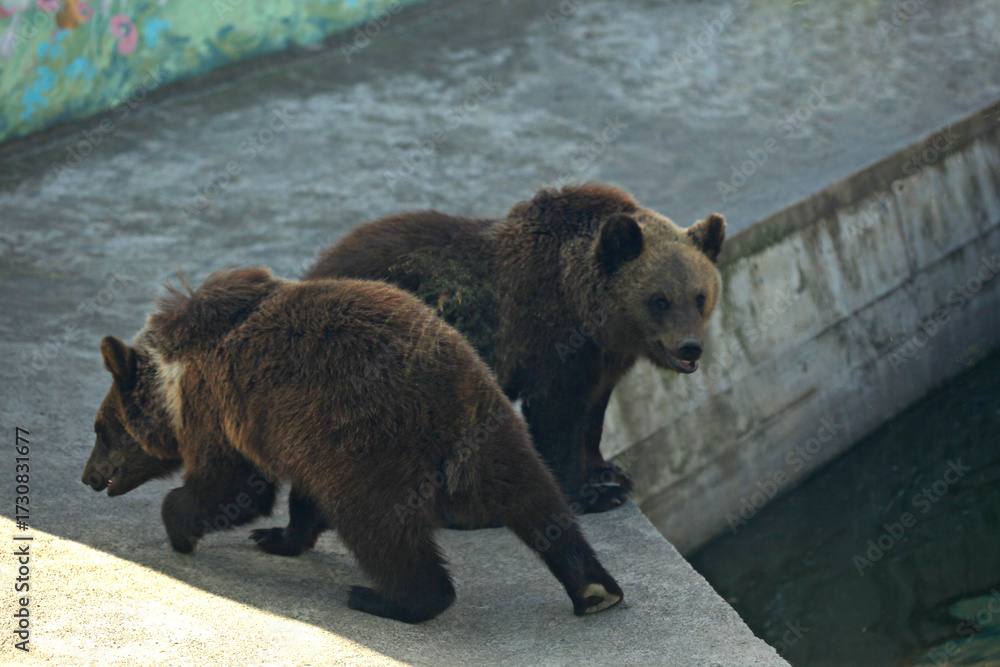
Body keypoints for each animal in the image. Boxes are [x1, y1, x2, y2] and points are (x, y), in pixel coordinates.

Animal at [81, 267, 623, 623]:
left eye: (100, 429)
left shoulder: (222, 408)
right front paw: (276, 536)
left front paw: (181, 527)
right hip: (494, 430)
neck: (173, 383)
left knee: (380, 530)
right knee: (540, 502)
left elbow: (232, 484)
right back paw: (595, 587)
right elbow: (300, 499)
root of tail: (455, 410)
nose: (88, 476)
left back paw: (382, 598)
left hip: (378, 445)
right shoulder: (301, 434)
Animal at [304, 182, 726, 515]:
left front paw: (609, 471)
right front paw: (592, 494)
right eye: (659, 300)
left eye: (699, 296)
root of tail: (316, 268)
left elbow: (594, 412)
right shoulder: (551, 343)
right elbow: (557, 416)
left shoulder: (605, 358)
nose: (690, 347)